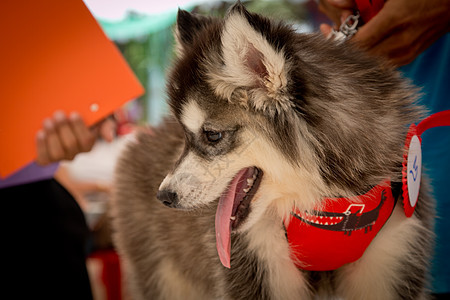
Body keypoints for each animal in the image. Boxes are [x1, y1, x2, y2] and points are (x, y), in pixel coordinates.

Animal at [111, 2, 432, 300]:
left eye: (212, 135)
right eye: (184, 137)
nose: (164, 196)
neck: (322, 199)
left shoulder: (395, 252)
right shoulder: (257, 263)